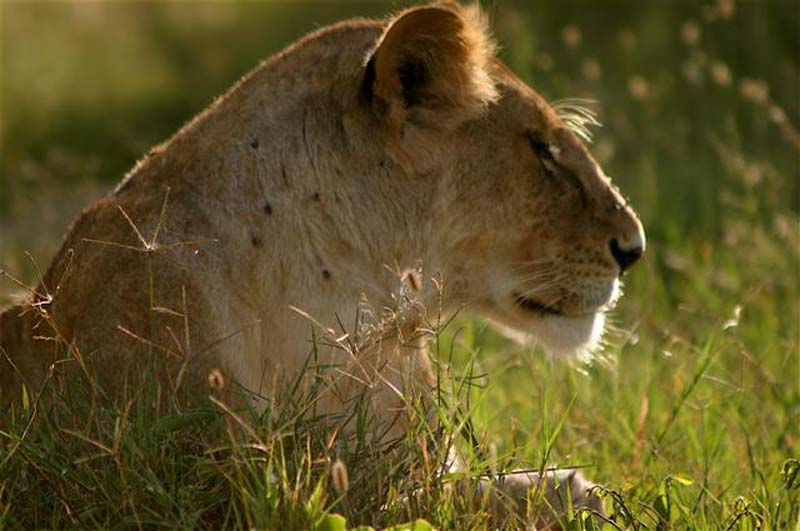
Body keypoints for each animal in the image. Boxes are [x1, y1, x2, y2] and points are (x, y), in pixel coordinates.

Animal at [0, 2, 644, 527]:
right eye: (541, 149)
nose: (633, 249)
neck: (365, 326)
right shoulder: (191, 492)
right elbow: (443, 504)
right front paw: (577, 495)